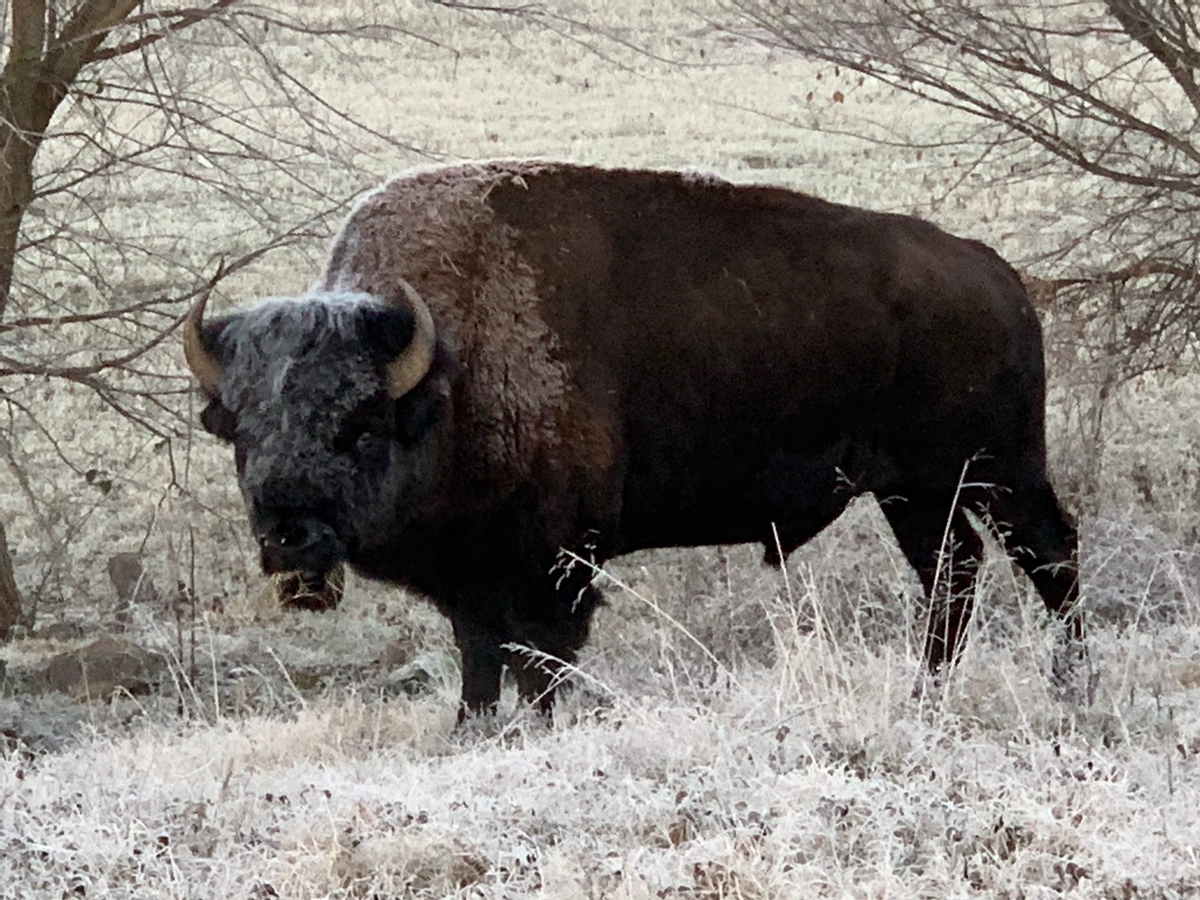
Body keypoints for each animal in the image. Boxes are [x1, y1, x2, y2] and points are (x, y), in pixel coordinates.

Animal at [182, 160, 1084, 720]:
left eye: (363, 426)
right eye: (241, 428)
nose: (291, 536)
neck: (445, 371)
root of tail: (997, 275)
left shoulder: (553, 565)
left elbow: (538, 662)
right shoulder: (472, 575)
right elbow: (480, 662)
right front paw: (470, 732)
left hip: (998, 472)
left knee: (1049, 556)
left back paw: (1068, 690)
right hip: (914, 491)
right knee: (953, 574)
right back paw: (925, 699)